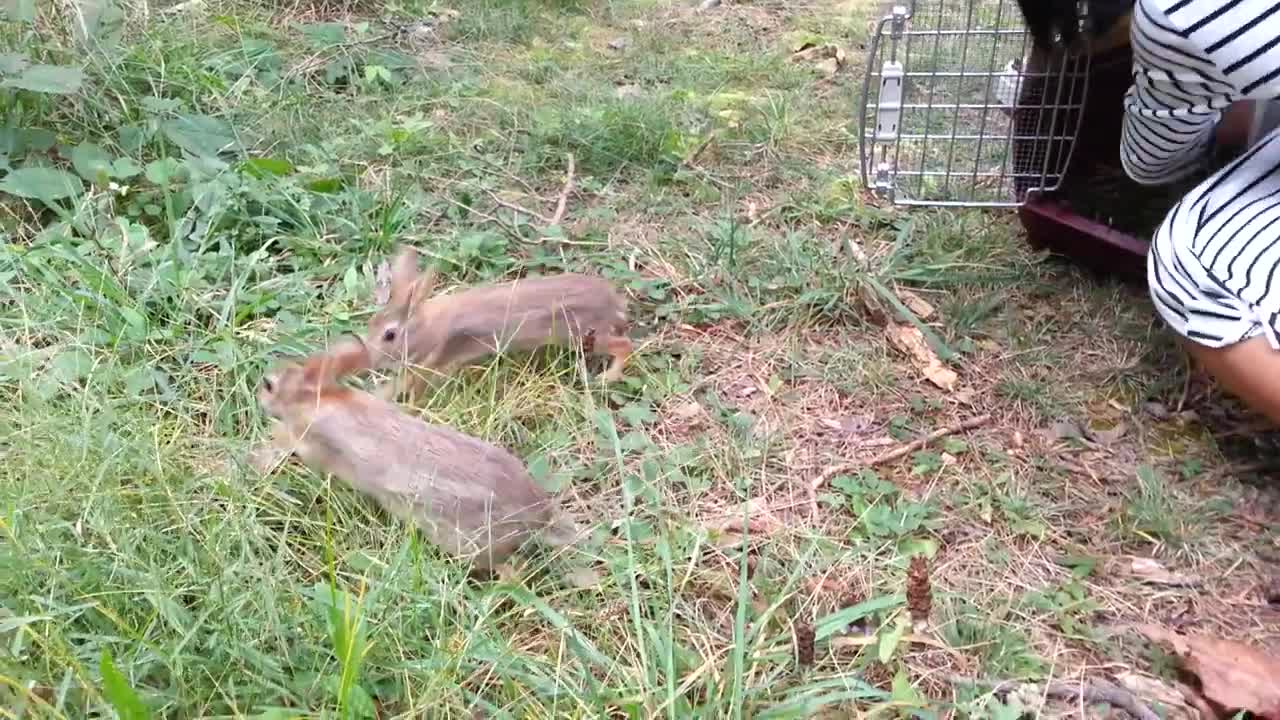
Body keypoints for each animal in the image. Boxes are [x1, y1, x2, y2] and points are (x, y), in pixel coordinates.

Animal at [366, 243, 629, 399]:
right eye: (371, 323)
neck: (425, 329)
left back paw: (606, 378)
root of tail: (614, 302)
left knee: (625, 345)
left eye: (389, 335)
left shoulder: (433, 362)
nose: (367, 357)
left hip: (585, 335)